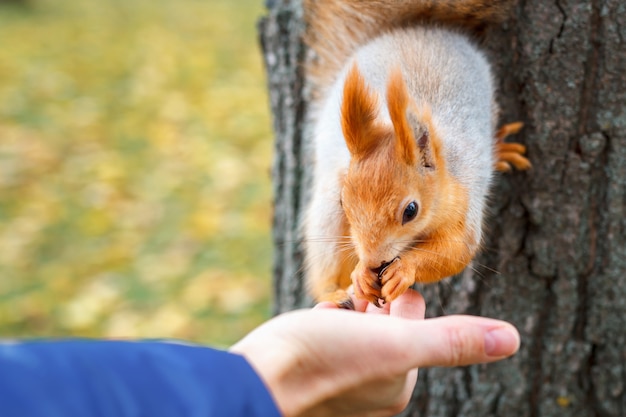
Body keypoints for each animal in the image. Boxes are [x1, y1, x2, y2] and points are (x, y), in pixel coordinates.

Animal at [300, 0, 528, 306]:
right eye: (343, 202)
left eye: (411, 211)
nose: (373, 261)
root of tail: (417, 30)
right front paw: (360, 274)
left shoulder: (465, 198)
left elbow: (456, 250)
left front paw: (404, 269)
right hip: (326, 215)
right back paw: (333, 293)